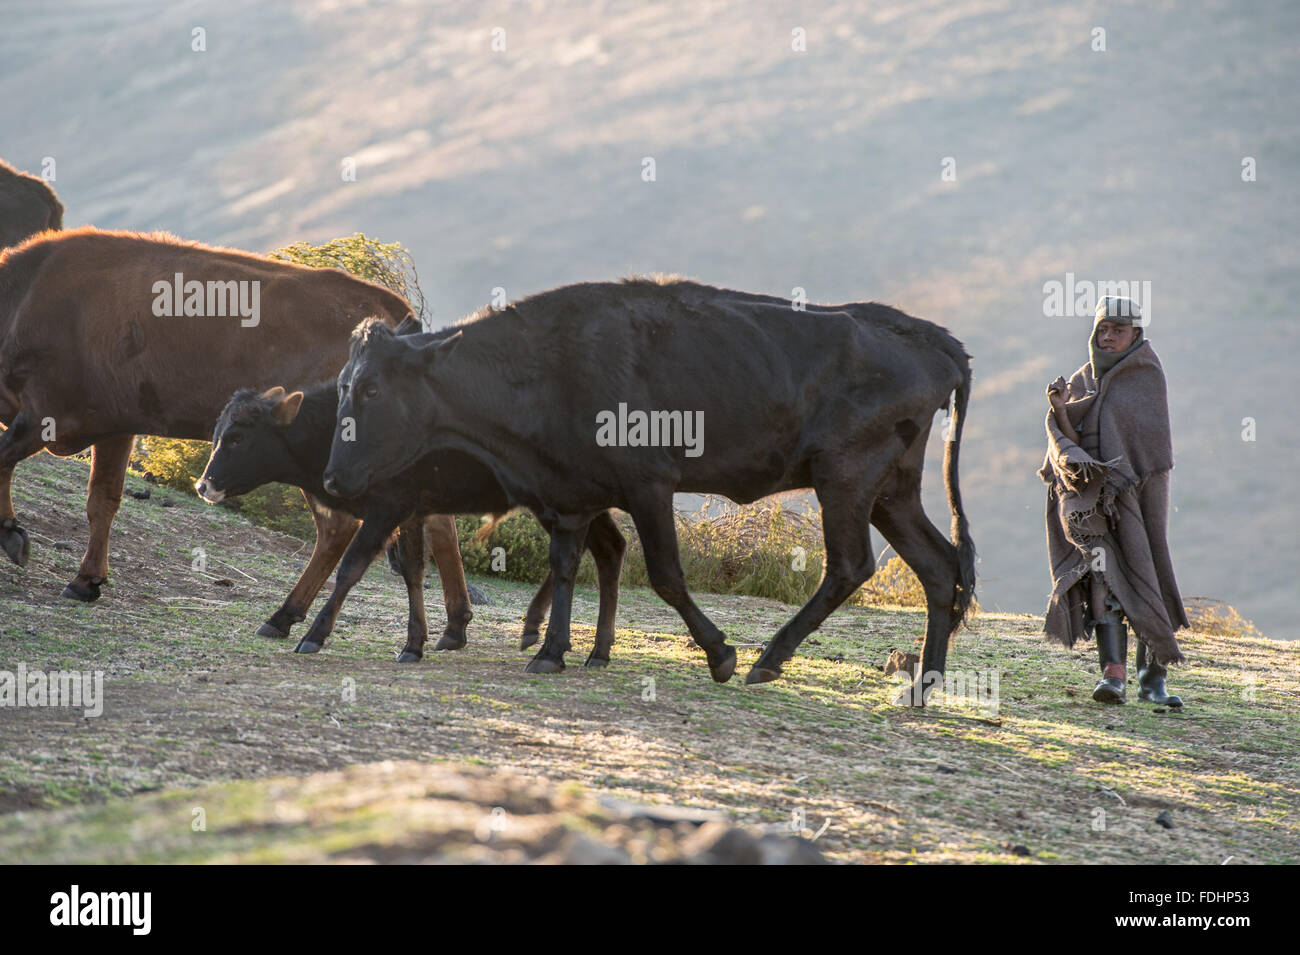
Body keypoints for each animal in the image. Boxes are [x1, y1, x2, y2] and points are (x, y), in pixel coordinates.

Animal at [0, 227, 447, 634]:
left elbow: (3, 459)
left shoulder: (46, 416)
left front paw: (12, 535)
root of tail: (395, 310)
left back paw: (283, 617)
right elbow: (103, 500)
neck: (26, 296)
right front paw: (87, 579)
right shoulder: (114, 427)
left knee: (337, 527)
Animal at [197, 361, 629, 665]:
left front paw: (314, 635)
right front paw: (415, 642)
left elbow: (352, 566)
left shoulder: (387, 508)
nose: (203, 485)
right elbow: (413, 570)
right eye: (218, 431)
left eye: (238, 437)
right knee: (608, 547)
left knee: (584, 551)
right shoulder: (410, 510)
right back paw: (591, 648)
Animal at [325, 276, 977, 701]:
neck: (546, 362)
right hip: (891, 491)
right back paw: (925, 685)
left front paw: (720, 654)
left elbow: (664, 574)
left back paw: (767, 660)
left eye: (373, 389)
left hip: (845, 478)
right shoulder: (569, 494)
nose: (334, 478)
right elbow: (569, 565)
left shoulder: (647, 485)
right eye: (343, 384)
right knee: (939, 565)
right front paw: (552, 651)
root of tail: (930, 338)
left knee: (849, 566)